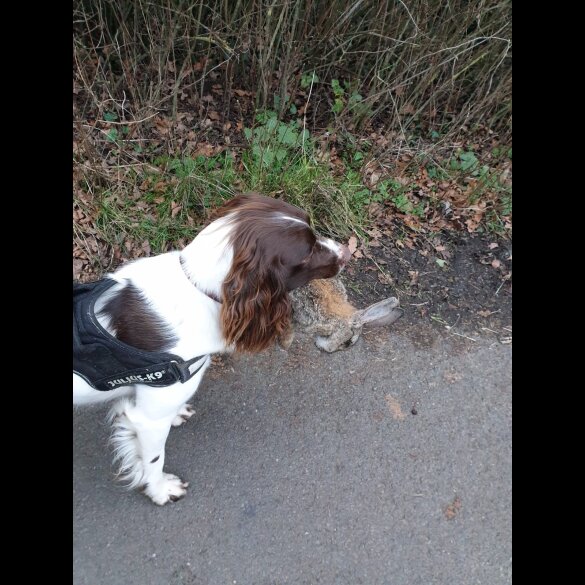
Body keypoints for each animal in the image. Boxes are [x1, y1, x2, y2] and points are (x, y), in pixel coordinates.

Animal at [72, 194, 346, 504]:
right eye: (307, 252)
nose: (347, 251)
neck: (195, 288)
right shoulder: (149, 419)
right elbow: (153, 459)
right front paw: (160, 490)